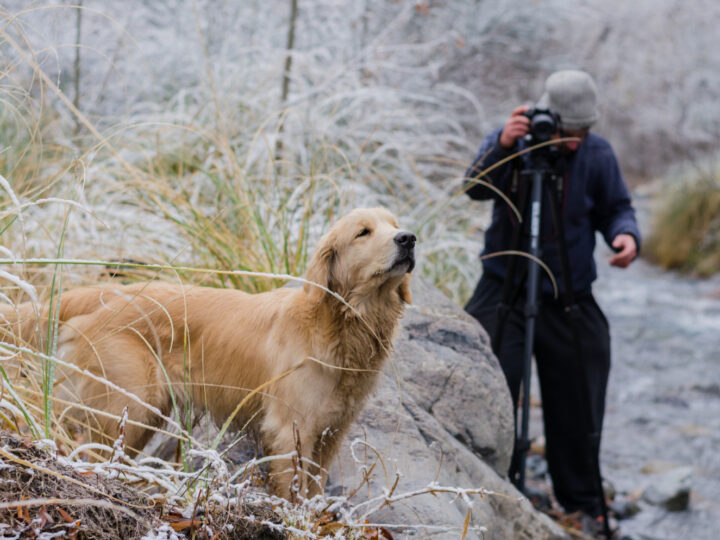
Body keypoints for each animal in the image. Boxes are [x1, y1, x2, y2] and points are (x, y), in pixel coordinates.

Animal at [0, 206, 416, 498]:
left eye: (394, 223)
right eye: (363, 232)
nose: (409, 238)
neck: (339, 327)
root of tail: (102, 292)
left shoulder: (333, 431)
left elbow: (312, 489)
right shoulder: (290, 430)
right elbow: (291, 491)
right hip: (129, 405)